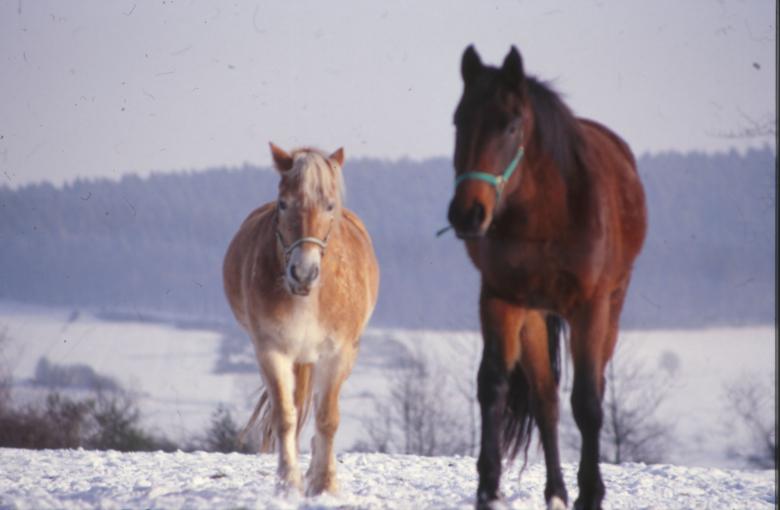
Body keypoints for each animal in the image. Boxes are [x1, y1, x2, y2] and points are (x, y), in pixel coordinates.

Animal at [223, 143, 379, 495]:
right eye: (284, 203)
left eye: (329, 205)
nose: (303, 273)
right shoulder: (271, 351)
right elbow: (285, 415)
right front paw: (288, 483)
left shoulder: (338, 354)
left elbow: (328, 418)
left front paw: (323, 484)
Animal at [446, 46, 647, 510]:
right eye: (458, 120)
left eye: (511, 124)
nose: (467, 213)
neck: (546, 217)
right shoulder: (500, 300)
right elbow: (493, 385)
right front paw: (488, 490)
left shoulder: (590, 308)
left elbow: (588, 402)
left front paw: (591, 493)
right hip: (535, 317)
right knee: (546, 399)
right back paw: (555, 491)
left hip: (611, 308)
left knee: (590, 390)